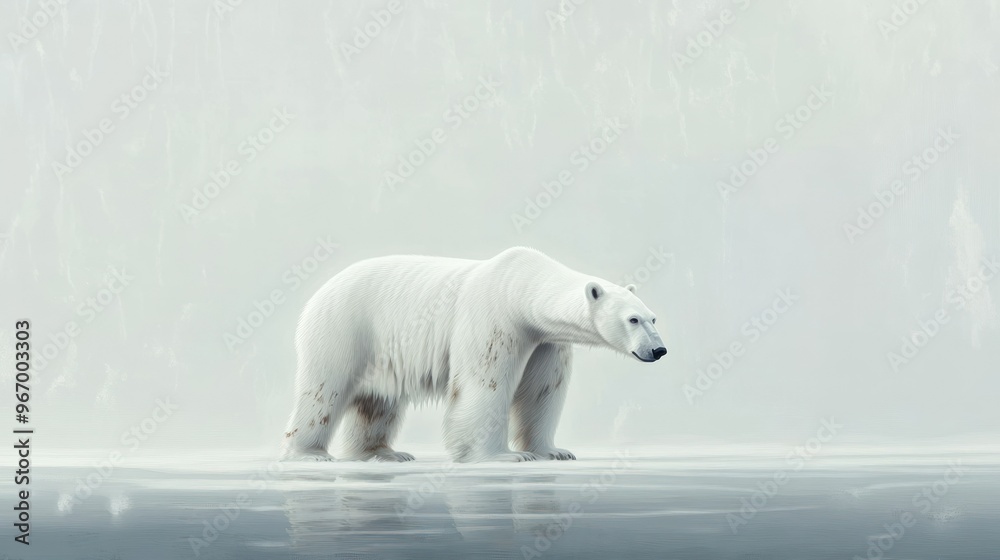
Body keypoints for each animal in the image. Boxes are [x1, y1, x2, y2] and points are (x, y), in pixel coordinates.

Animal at [278, 247, 668, 462]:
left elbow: (542, 392)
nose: (659, 349)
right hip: (346, 329)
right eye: (632, 319)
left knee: (378, 401)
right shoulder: (494, 318)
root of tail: (321, 291)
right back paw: (310, 455)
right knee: (324, 391)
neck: (520, 285)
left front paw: (554, 451)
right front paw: (504, 457)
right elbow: (485, 384)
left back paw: (384, 454)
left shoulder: (546, 341)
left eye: (653, 317)